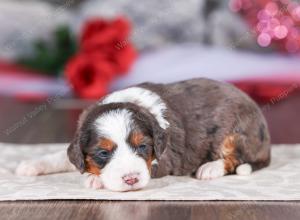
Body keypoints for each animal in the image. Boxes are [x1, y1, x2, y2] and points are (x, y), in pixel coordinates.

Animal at [15, 78, 270, 192]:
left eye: (143, 147)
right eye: (103, 153)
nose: (131, 180)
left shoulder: (166, 158)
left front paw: (94, 178)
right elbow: (61, 156)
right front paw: (30, 165)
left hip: (236, 132)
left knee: (235, 157)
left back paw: (210, 168)